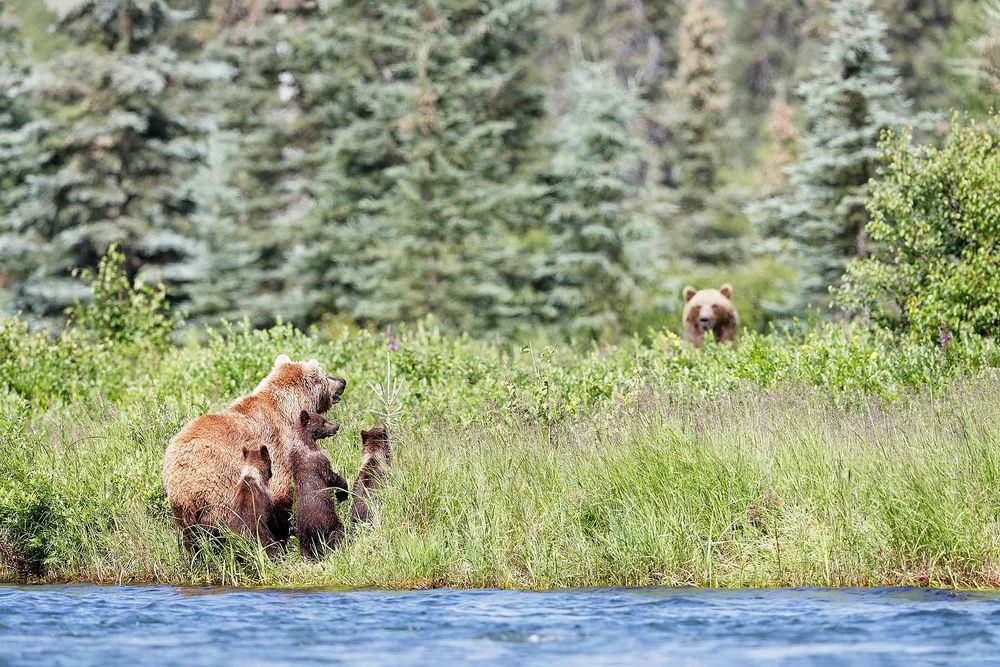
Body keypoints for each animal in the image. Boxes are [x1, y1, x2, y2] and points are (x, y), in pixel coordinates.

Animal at [163, 354, 346, 549]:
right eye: (325, 375)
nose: (342, 382)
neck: (288, 408)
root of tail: (181, 478)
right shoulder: (277, 444)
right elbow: (281, 492)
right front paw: (284, 534)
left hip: (181, 508)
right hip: (216, 487)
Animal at [291, 409, 350, 560]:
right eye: (323, 421)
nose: (337, 425)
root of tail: (309, 528)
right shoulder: (318, 461)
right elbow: (332, 477)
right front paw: (342, 494)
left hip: (303, 535)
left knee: (305, 548)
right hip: (326, 520)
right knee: (336, 532)